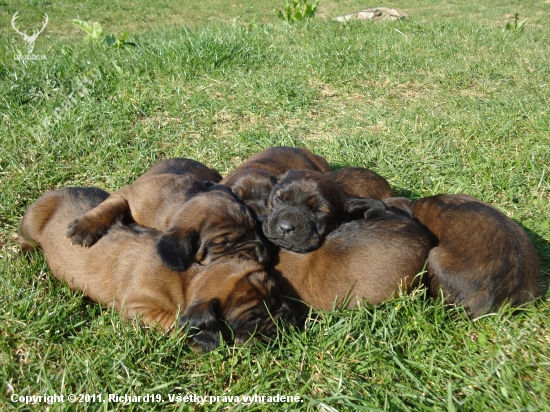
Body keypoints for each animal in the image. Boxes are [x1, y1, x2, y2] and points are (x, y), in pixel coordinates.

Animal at [18, 188, 298, 352]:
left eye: (276, 296)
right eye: (252, 319)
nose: (286, 316)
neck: (189, 279)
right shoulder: (139, 307)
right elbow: (173, 322)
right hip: (32, 222)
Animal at [66, 158, 270, 270]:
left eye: (255, 228)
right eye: (221, 243)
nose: (263, 257)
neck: (183, 201)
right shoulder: (127, 195)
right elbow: (108, 208)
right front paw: (84, 227)